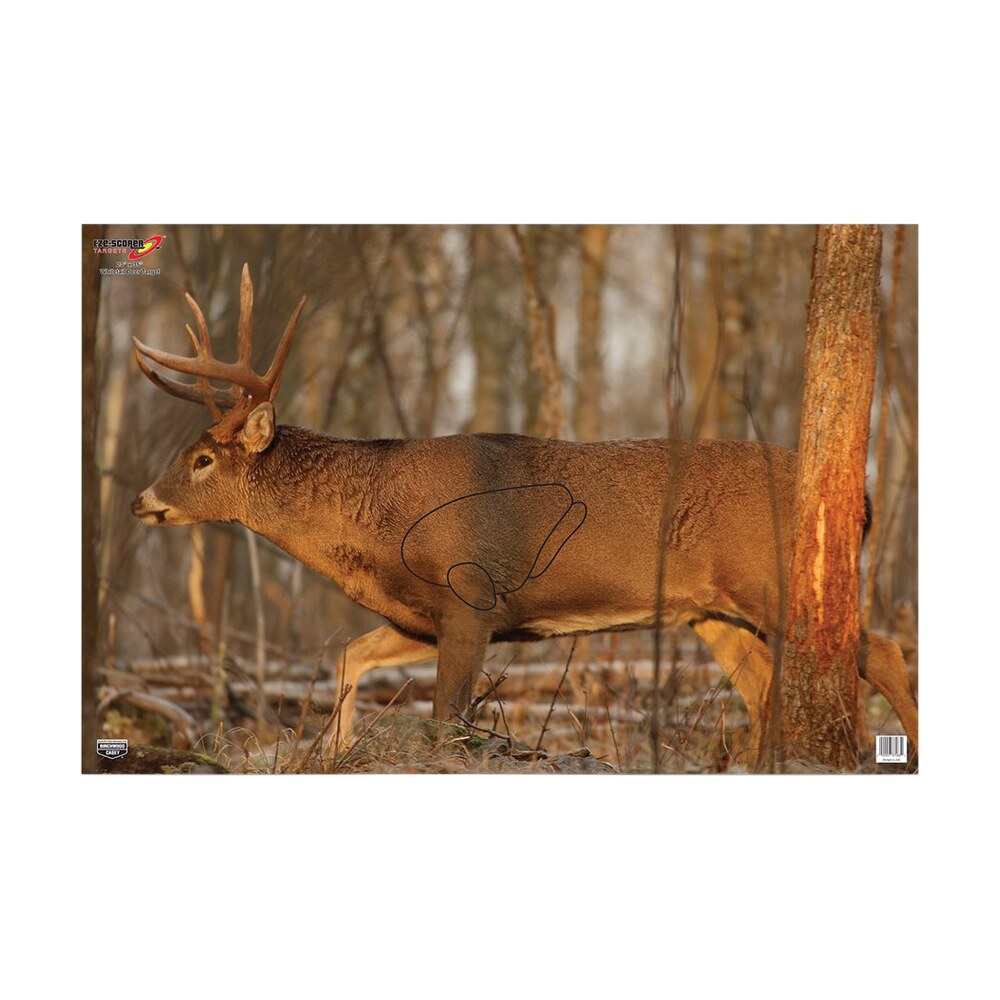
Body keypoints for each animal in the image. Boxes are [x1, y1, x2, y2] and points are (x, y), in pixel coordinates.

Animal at [131, 264, 918, 767]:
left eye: (203, 459)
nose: (142, 501)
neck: (376, 527)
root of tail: (862, 496)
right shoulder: (424, 616)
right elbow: (351, 655)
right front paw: (336, 750)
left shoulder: (470, 598)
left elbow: (447, 721)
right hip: (709, 610)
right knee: (762, 688)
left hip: (772, 581)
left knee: (881, 652)